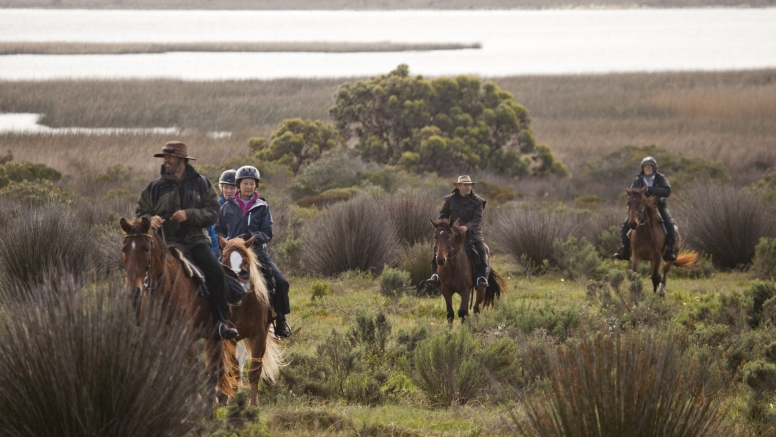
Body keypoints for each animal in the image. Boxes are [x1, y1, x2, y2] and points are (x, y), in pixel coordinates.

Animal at [118, 216, 236, 408]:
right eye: (124, 249)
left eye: (146, 249)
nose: (133, 291)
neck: (163, 290)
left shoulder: (184, 338)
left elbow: (193, 369)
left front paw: (197, 404)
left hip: (215, 335)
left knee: (213, 368)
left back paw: (211, 403)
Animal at [217, 235, 284, 406]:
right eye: (224, 260)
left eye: (246, 261)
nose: (236, 289)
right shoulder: (231, 338)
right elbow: (234, 370)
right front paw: (233, 401)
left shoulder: (259, 336)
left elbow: (254, 370)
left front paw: (253, 403)